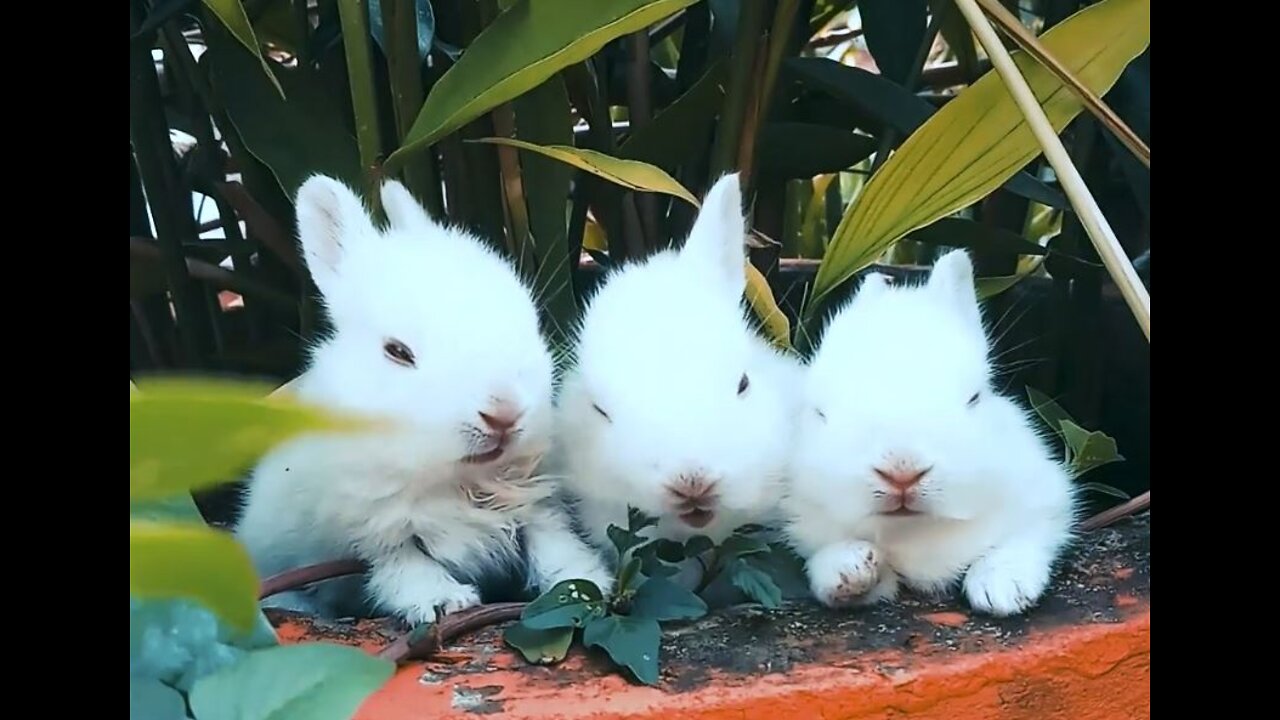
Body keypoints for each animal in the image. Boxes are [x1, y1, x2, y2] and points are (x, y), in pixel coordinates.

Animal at [236, 174, 614, 622]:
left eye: (529, 324)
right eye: (398, 352)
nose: (503, 414)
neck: (459, 479)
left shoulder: (535, 506)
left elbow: (551, 542)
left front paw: (586, 584)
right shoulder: (373, 535)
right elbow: (403, 567)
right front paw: (444, 602)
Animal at [783, 249, 1075, 614]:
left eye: (974, 398)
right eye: (820, 412)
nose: (902, 472)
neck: (914, 530)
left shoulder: (1047, 498)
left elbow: (1025, 538)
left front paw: (1002, 590)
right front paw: (850, 568)